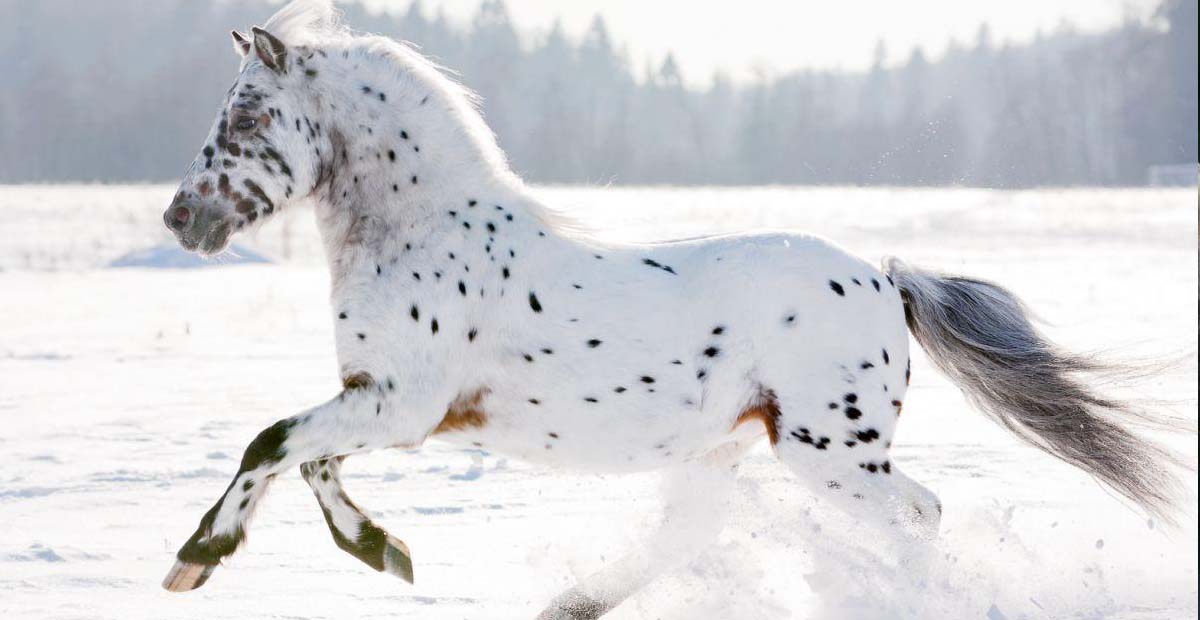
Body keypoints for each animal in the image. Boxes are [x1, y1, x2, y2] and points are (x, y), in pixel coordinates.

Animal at [159, 2, 1190, 614]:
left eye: (247, 114)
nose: (182, 217)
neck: (422, 230)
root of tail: (885, 280)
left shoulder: (402, 406)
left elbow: (270, 444)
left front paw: (198, 556)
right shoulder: (379, 401)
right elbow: (308, 462)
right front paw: (385, 551)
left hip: (828, 454)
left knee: (920, 515)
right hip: (728, 451)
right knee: (689, 539)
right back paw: (569, 604)